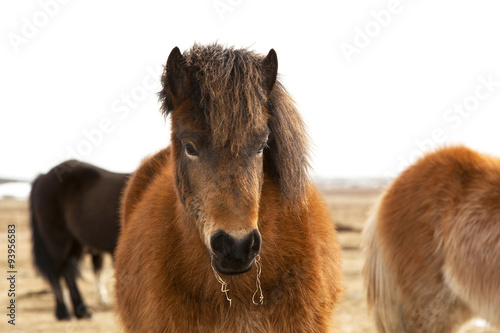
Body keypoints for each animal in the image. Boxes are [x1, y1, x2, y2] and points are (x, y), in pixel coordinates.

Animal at [29, 160, 129, 320]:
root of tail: (43, 177)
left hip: (76, 243)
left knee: (69, 272)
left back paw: (81, 311)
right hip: (57, 240)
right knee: (58, 273)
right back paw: (63, 312)